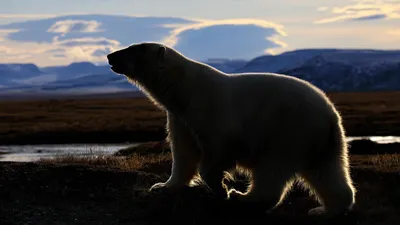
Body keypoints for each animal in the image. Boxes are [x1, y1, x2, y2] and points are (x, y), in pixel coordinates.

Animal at [106, 41, 356, 216]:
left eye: (134, 49)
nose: (110, 55)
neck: (184, 89)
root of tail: (330, 115)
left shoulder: (210, 110)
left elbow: (215, 151)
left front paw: (222, 188)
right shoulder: (180, 118)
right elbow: (183, 154)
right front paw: (161, 186)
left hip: (288, 131)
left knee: (272, 170)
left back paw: (243, 197)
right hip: (321, 141)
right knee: (327, 171)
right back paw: (325, 209)